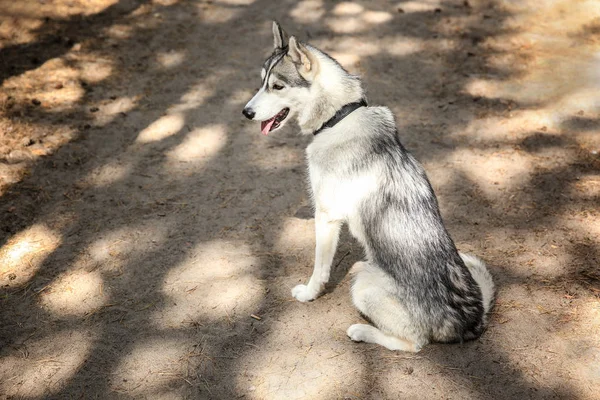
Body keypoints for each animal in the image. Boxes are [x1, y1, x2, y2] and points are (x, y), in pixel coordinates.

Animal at [241, 22, 494, 354]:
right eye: (261, 83)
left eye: (278, 86)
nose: (245, 112)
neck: (338, 117)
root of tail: (472, 319)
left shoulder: (326, 216)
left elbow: (319, 268)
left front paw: (309, 293)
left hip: (364, 286)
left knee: (415, 343)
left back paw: (361, 331)